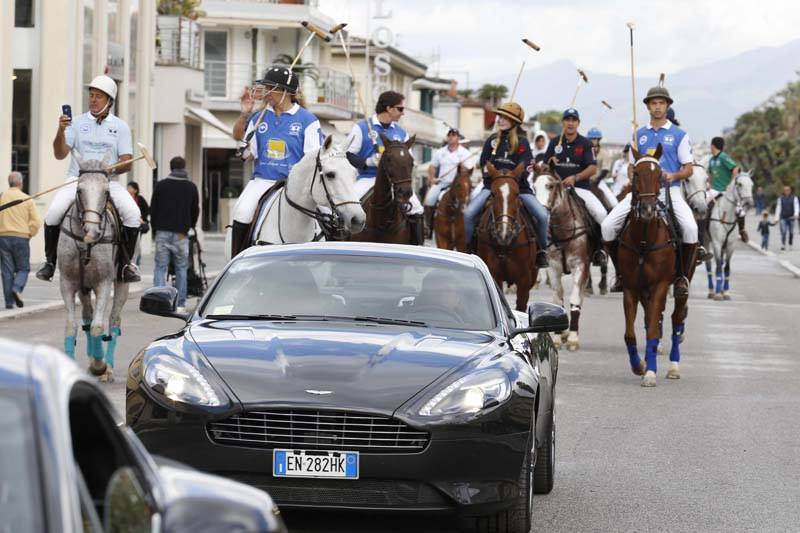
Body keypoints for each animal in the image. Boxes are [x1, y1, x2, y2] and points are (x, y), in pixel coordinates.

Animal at [59, 152, 131, 380]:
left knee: (114, 320)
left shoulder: (104, 283)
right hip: (83, 286)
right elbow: (72, 326)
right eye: (79, 190)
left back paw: (107, 367)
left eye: (106, 191)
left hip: (122, 283)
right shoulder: (67, 283)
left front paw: (99, 366)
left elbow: (99, 327)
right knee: (87, 317)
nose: (92, 232)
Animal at [478, 162, 540, 312]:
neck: (506, 245)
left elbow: (521, 306)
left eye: (517, 194)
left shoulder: (524, 280)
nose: (504, 234)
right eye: (492, 194)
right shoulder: (494, 275)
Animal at [616, 145, 692, 386]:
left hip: (680, 284)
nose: (648, 210)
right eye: (636, 174)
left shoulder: (660, 285)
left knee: (676, 321)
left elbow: (654, 332)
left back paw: (673, 366)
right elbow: (631, 333)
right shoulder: (631, 288)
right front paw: (640, 366)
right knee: (652, 320)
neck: (643, 240)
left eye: (660, 175)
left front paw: (650, 373)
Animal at [708, 172, 752, 302]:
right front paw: (718, 294)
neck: (726, 214)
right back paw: (712, 290)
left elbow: (726, 267)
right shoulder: (717, 243)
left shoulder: (731, 246)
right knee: (709, 265)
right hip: (707, 242)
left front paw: (725, 291)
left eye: (752, 184)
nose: (749, 203)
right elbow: (718, 266)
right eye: (740, 184)